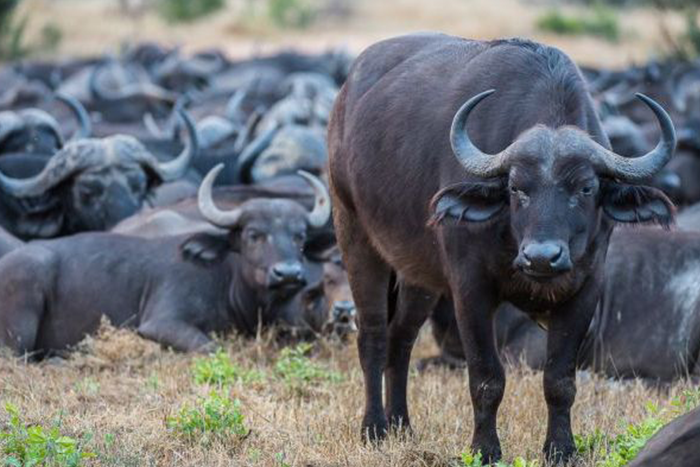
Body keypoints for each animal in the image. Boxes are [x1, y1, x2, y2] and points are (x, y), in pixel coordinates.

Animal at [0, 163, 332, 356]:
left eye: (300, 237)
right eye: (253, 234)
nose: (288, 274)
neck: (227, 278)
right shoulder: (161, 322)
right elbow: (211, 347)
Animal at [328, 33, 680, 464]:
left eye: (586, 187)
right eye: (516, 188)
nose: (542, 257)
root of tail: (346, 95)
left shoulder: (586, 288)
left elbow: (560, 380)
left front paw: (561, 448)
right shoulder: (470, 289)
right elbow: (486, 377)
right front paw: (485, 449)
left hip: (417, 274)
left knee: (402, 337)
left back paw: (401, 425)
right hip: (355, 233)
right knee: (374, 335)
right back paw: (374, 428)